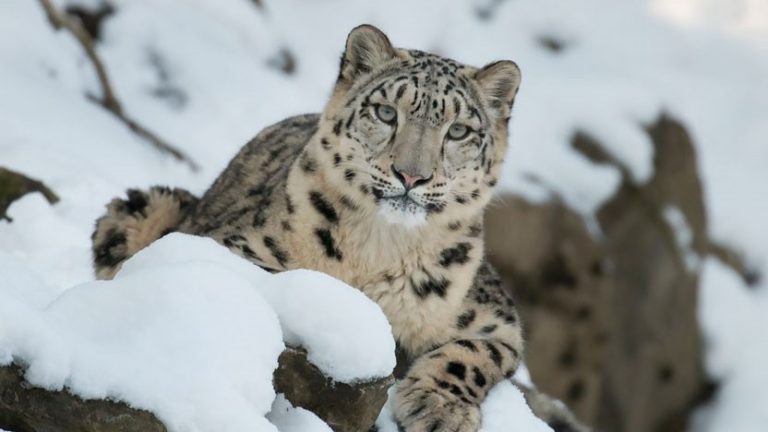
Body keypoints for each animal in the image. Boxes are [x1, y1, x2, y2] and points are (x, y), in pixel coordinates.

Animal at [91, 24, 588, 432]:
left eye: (459, 131)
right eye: (386, 113)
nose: (412, 175)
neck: (382, 249)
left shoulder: (495, 318)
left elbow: (472, 355)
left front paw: (440, 408)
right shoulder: (232, 247)